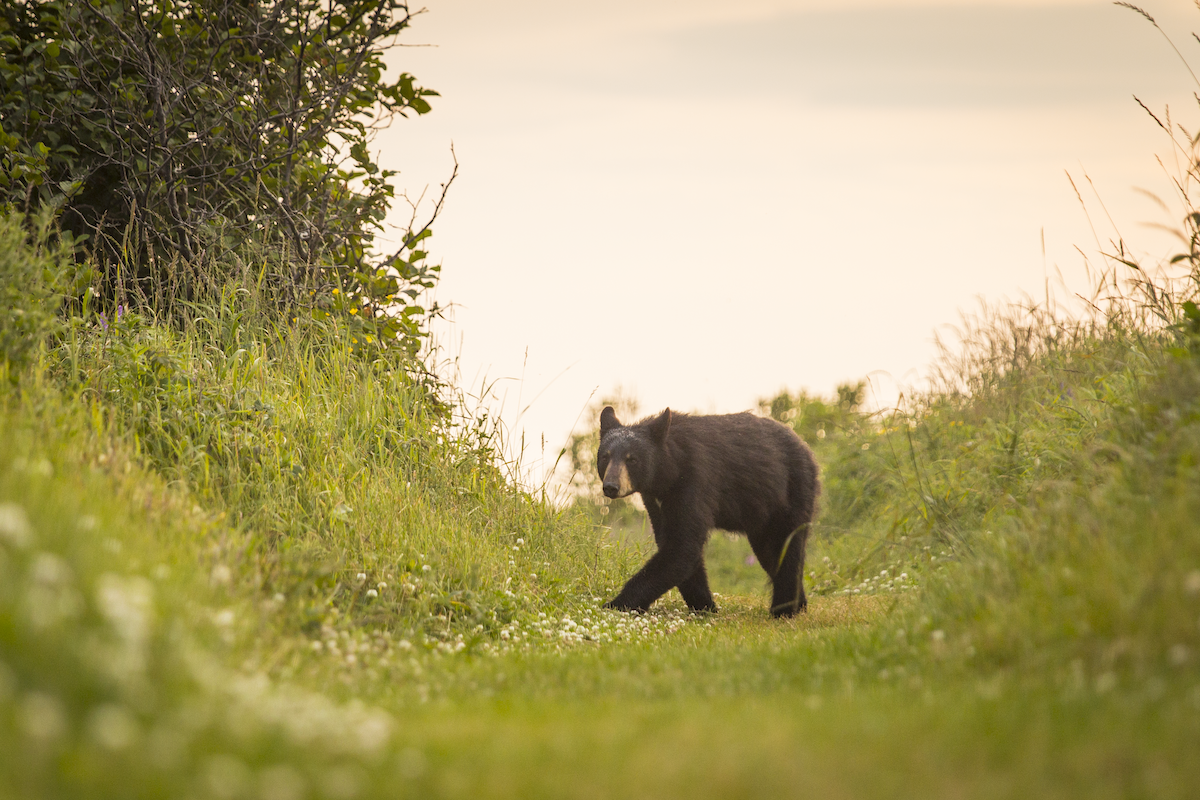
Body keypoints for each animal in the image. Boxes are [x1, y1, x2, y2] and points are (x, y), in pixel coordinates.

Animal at [596, 405, 820, 617]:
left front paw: (615, 604)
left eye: (632, 459)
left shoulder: (695, 480)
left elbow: (682, 547)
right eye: (605, 457)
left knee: (787, 545)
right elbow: (676, 545)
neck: (668, 472)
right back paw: (798, 605)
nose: (611, 486)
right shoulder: (656, 500)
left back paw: (784, 610)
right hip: (763, 516)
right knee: (771, 553)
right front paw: (705, 606)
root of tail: (806, 448)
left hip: (792, 491)